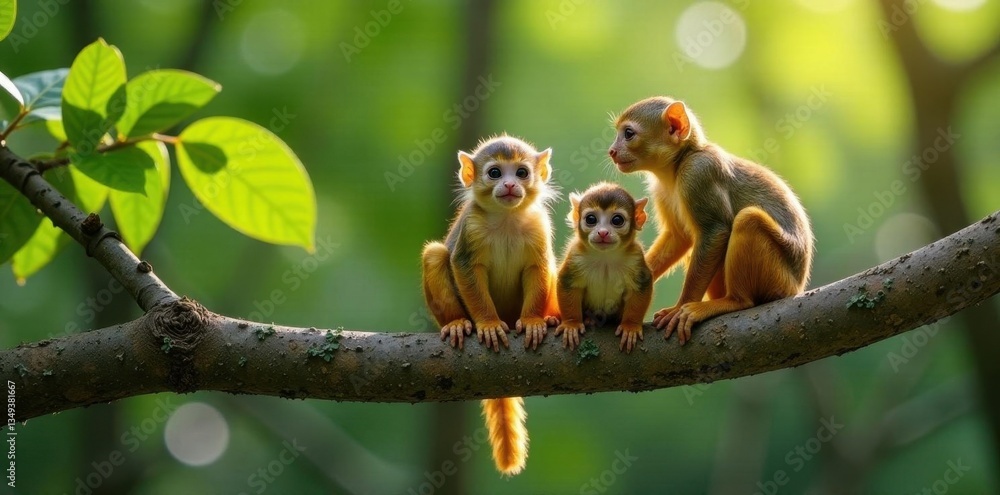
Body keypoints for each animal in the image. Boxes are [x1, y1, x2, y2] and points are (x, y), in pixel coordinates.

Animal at [420, 134, 558, 476]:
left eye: (521, 172)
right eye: (495, 173)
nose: (509, 184)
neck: (507, 218)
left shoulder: (539, 224)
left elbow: (539, 266)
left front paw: (534, 321)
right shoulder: (471, 227)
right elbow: (463, 266)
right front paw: (488, 325)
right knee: (435, 254)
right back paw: (458, 323)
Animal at [554, 182, 652, 353]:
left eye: (617, 220)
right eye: (591, 219)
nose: (603, 233)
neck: (605, 257)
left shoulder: (635, 257)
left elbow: (641, 285)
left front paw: (630, 326)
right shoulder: (576, 255)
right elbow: (567, 282)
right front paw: (571, 324)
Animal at [608, 96, 814, 345]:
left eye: (628, 133)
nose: (612, 151)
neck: (678, 164)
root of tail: (797, 286)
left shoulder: (698, 173)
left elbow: (716, 231)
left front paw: (679, 308)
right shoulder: (661, 190)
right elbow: (680, 237)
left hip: (779, 280)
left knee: (748, 221)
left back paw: (733, 301)